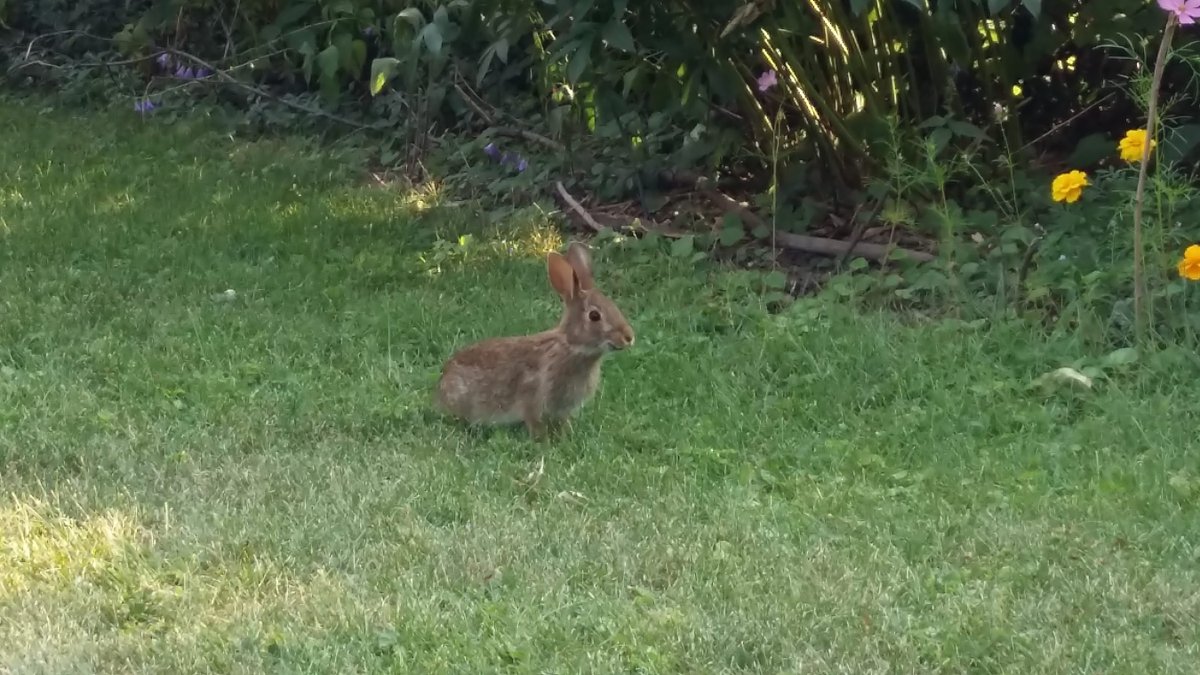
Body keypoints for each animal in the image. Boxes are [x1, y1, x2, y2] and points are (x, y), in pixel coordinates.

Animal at [436, 241, 635, 439]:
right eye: (594, 316)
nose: (629, 337)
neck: (570, 346)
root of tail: (442, 384)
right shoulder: (532, 400)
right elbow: (534, 422)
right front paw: (543, 440)